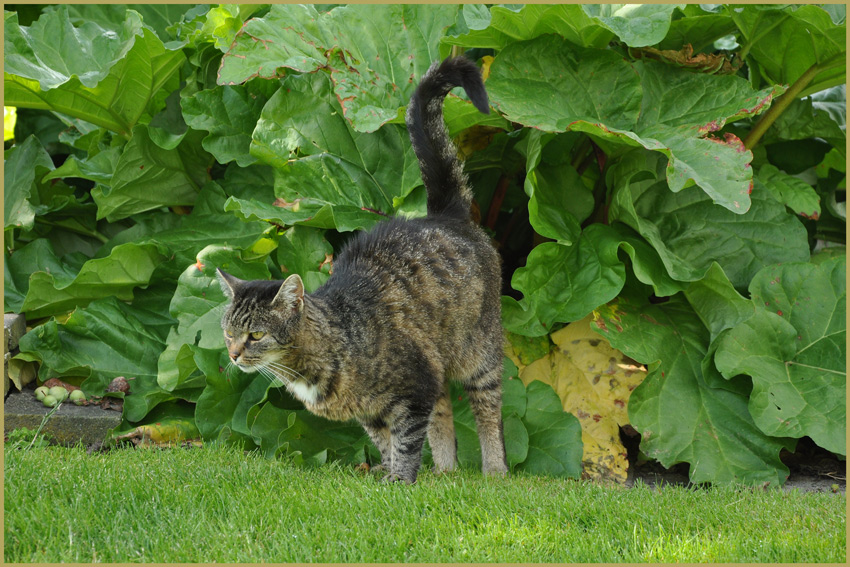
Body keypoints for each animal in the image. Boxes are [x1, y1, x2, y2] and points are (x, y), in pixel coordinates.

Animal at [219, 56, 506, 484]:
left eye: (255, 335)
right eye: (228, 333)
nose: (234, 354)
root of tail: (445, 214)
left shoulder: (413, 389)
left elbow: (406, 442)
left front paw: (400, 481)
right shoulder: (373, 409)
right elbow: (387, 442)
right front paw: (386, 474)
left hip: (478, 351)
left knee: (488, 410)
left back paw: (494, 470)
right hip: (436, 359)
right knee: (443, 415)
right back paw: (445, 472)